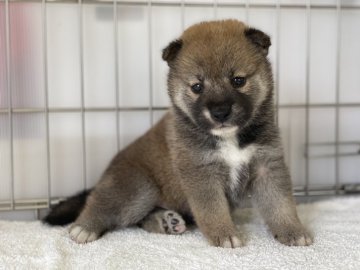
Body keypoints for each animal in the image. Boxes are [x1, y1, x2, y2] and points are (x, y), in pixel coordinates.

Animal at [44, 19, 312, 248]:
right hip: (137, 189)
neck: (229, 139)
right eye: (197, 87)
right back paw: (85, 227)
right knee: (104, 204)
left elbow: (281, 204)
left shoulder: (268, 165)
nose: (220, 112)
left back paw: (165, 221)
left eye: (238, 80)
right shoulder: (201, 174)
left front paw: (293, 231)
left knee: (139, 219)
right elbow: (213, 210)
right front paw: (224, 234)